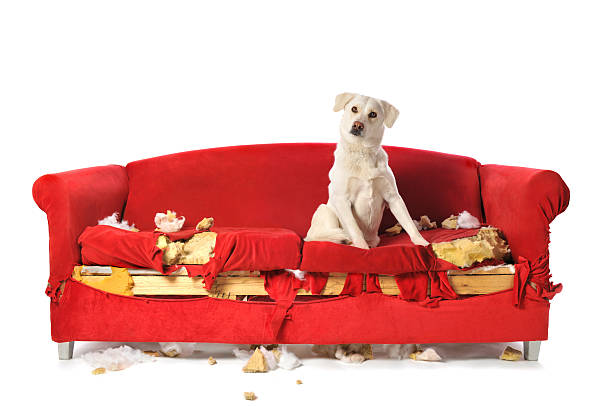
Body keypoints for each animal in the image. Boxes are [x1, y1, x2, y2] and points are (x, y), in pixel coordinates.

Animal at [304, 93, 428, 249]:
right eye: (354, 109)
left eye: (373, 114)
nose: (357, 125)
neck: (362, 152)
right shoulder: (342, 199)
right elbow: (354, 229)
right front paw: (362, 248)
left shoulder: (393, 197)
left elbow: (409, 223)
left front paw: (423, 243)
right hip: (324, 209)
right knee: (322, 235)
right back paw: (344, 240)